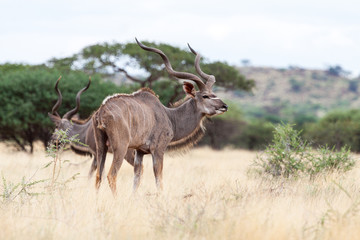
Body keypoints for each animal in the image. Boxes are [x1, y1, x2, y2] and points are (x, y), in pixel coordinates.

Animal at [93, 38, 228, 194]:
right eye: (205, 96)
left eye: (214, 94)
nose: (224, 106)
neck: (170, 116)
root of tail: (102, 111)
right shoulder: (158, 149)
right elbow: (159, 179)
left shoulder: (139, 152)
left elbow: (137, 178)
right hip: (120, 147)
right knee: (111, 175)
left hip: (101, 147)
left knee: (98, 176)